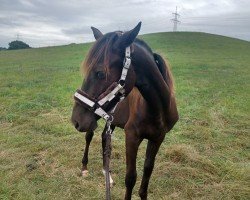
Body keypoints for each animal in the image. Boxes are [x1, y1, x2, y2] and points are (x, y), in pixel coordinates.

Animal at [71, 21, 179, 198]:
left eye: (100, 73)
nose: (76, 120)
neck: (156, 109)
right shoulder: (132, 137)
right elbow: (131, 178)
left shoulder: (158, 138)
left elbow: (147, 171)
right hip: (95, 120)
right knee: (89, 136)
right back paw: (85, 167)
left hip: (111, 120)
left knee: (104, 138)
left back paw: (106, 174)